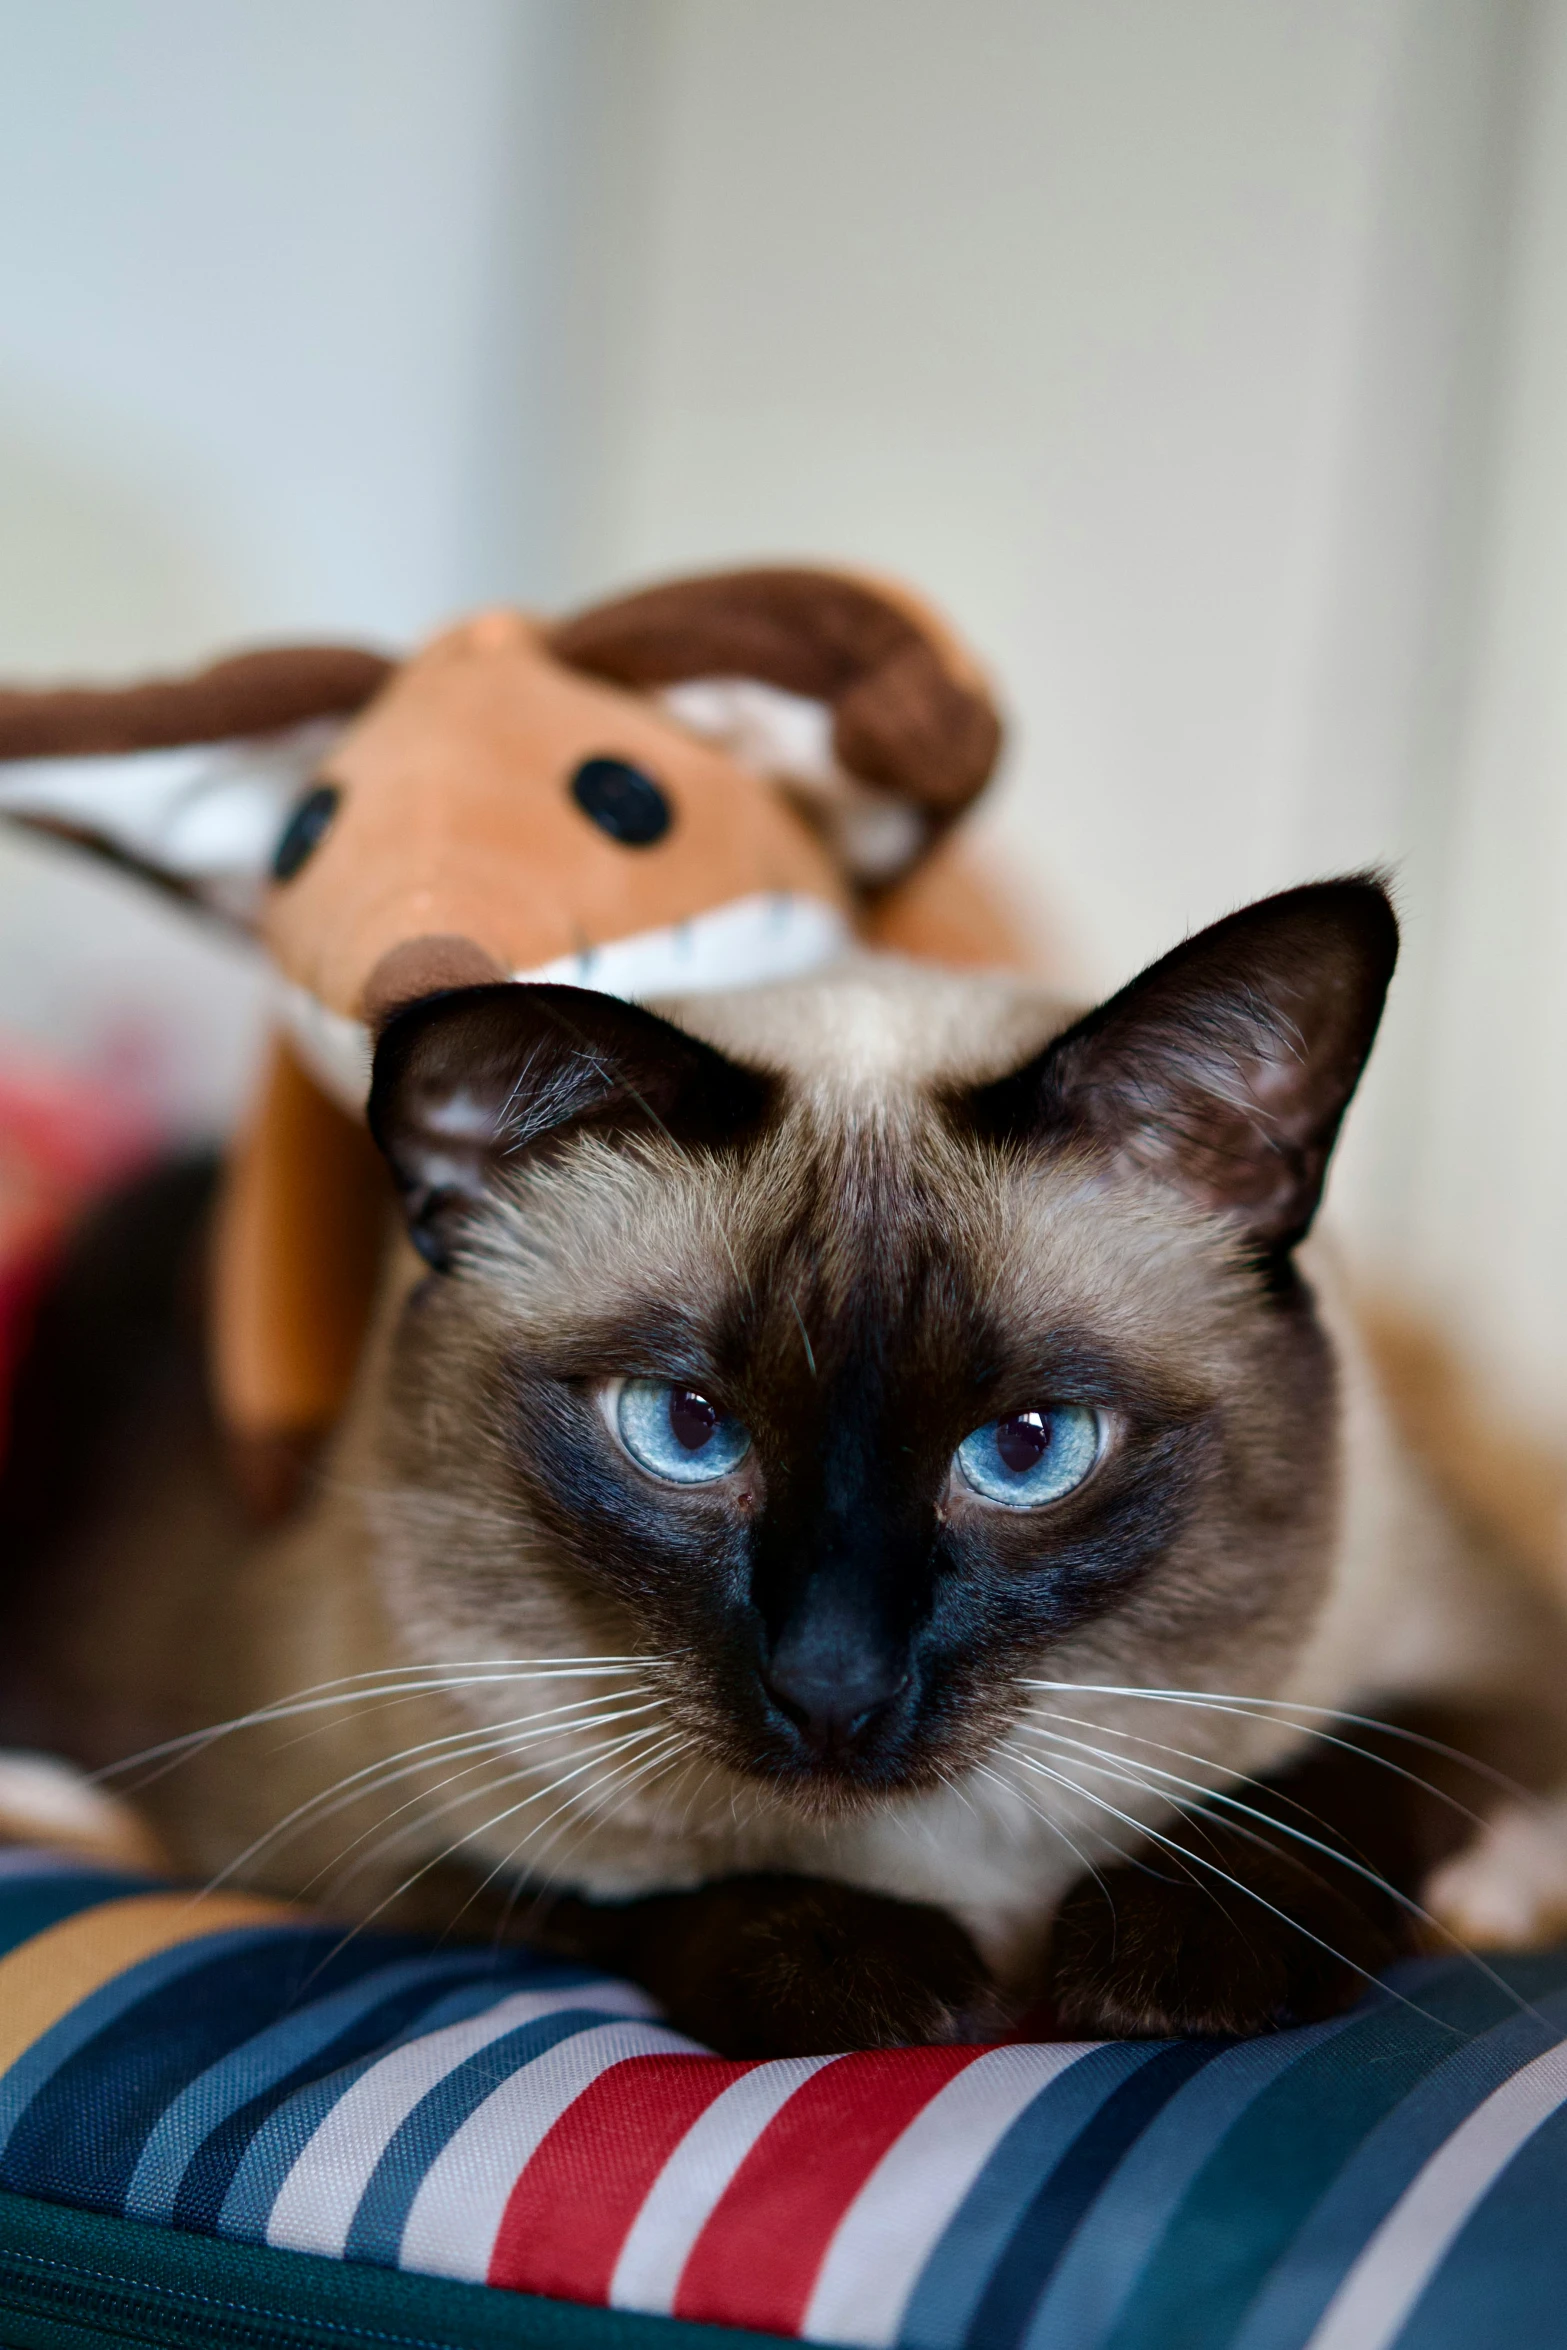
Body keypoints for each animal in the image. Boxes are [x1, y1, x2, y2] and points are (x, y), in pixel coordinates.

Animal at [6, 874, 1559, 2049]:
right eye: (685, 1430)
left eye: (1026, 1449)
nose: (831, 1685)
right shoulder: (326, 1834)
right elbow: (603, 1892)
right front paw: (883, 1983)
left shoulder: (1489, 1667)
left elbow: (1329, 1780)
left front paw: (1169, 1967)